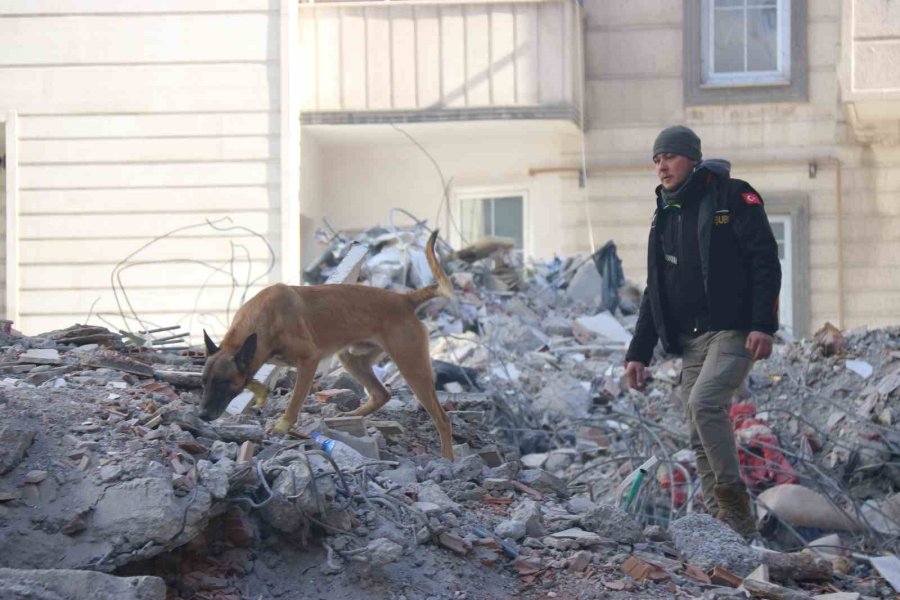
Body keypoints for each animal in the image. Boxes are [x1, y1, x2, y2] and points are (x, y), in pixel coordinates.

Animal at [200, 230, 454, 460]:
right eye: (204, 383)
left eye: (223, 383)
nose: (201, 416)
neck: (263, 318)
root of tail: (405, 299)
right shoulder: (256, 356)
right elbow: (253, 379)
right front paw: (261, 395)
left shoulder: (308, 361)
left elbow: (294, 401)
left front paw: (283, 426)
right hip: (353, 360)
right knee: (381, 394)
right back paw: (351, 416)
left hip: (412, 367)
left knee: (442, 418)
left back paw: (447, 458)